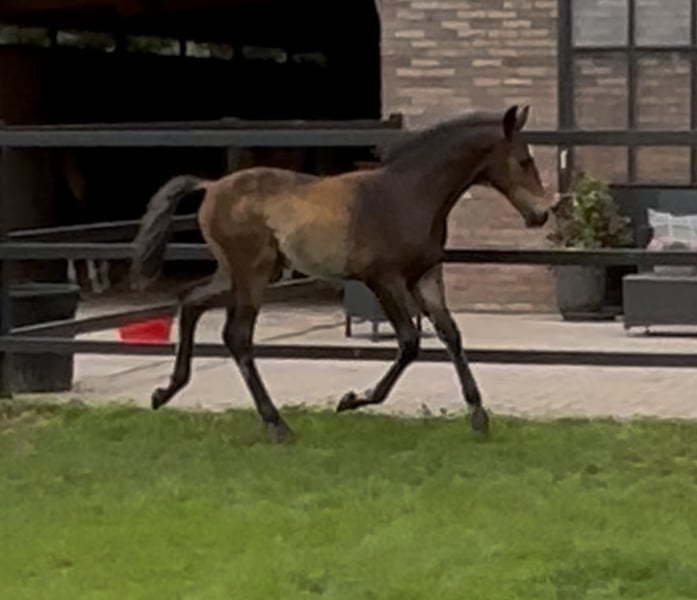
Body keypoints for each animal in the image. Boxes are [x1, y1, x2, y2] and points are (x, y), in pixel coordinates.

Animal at [129, 104, 554, 443]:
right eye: (524, 161)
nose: (541, 214)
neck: (407, 193)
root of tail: (212, 185)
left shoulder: (427, 276)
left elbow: (451, 334)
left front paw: (479, 417)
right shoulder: (383, 279)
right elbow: (410, 342)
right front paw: (353, 400)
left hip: (239, 273)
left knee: (191, 301)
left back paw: (166, 391)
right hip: (252, 273)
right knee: (236, 335)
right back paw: (277, 425)